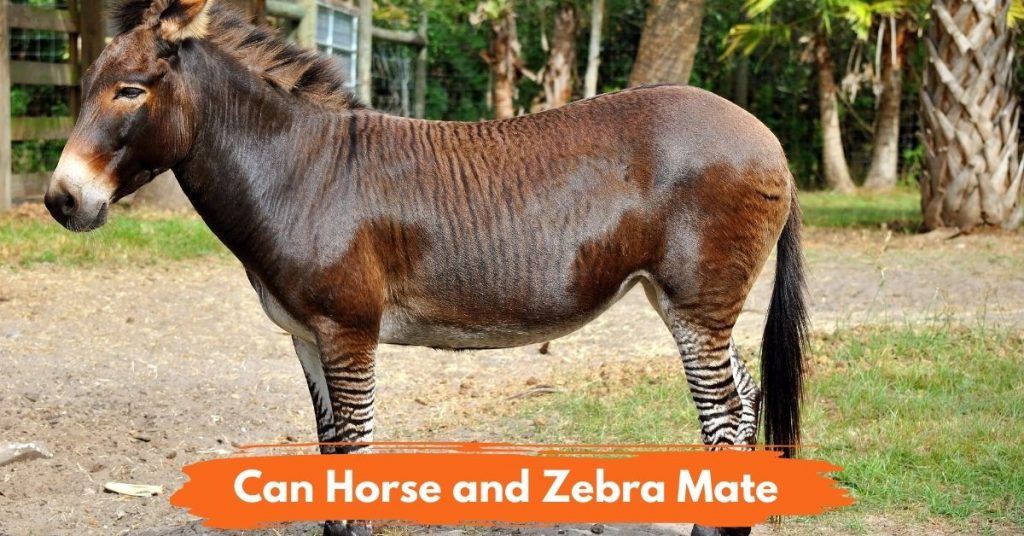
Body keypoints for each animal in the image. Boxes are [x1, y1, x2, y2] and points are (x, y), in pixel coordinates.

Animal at [43, 0, 808, 534]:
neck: (299, 172)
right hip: (688, 302)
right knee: (744, 401)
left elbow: (354, 453)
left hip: (697, 300)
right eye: (87, 87)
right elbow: (329, 451)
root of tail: (767, 135)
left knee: (724, 415)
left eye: (131, 91)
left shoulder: (349, 331)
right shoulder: (306, 336)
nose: (60, 201)